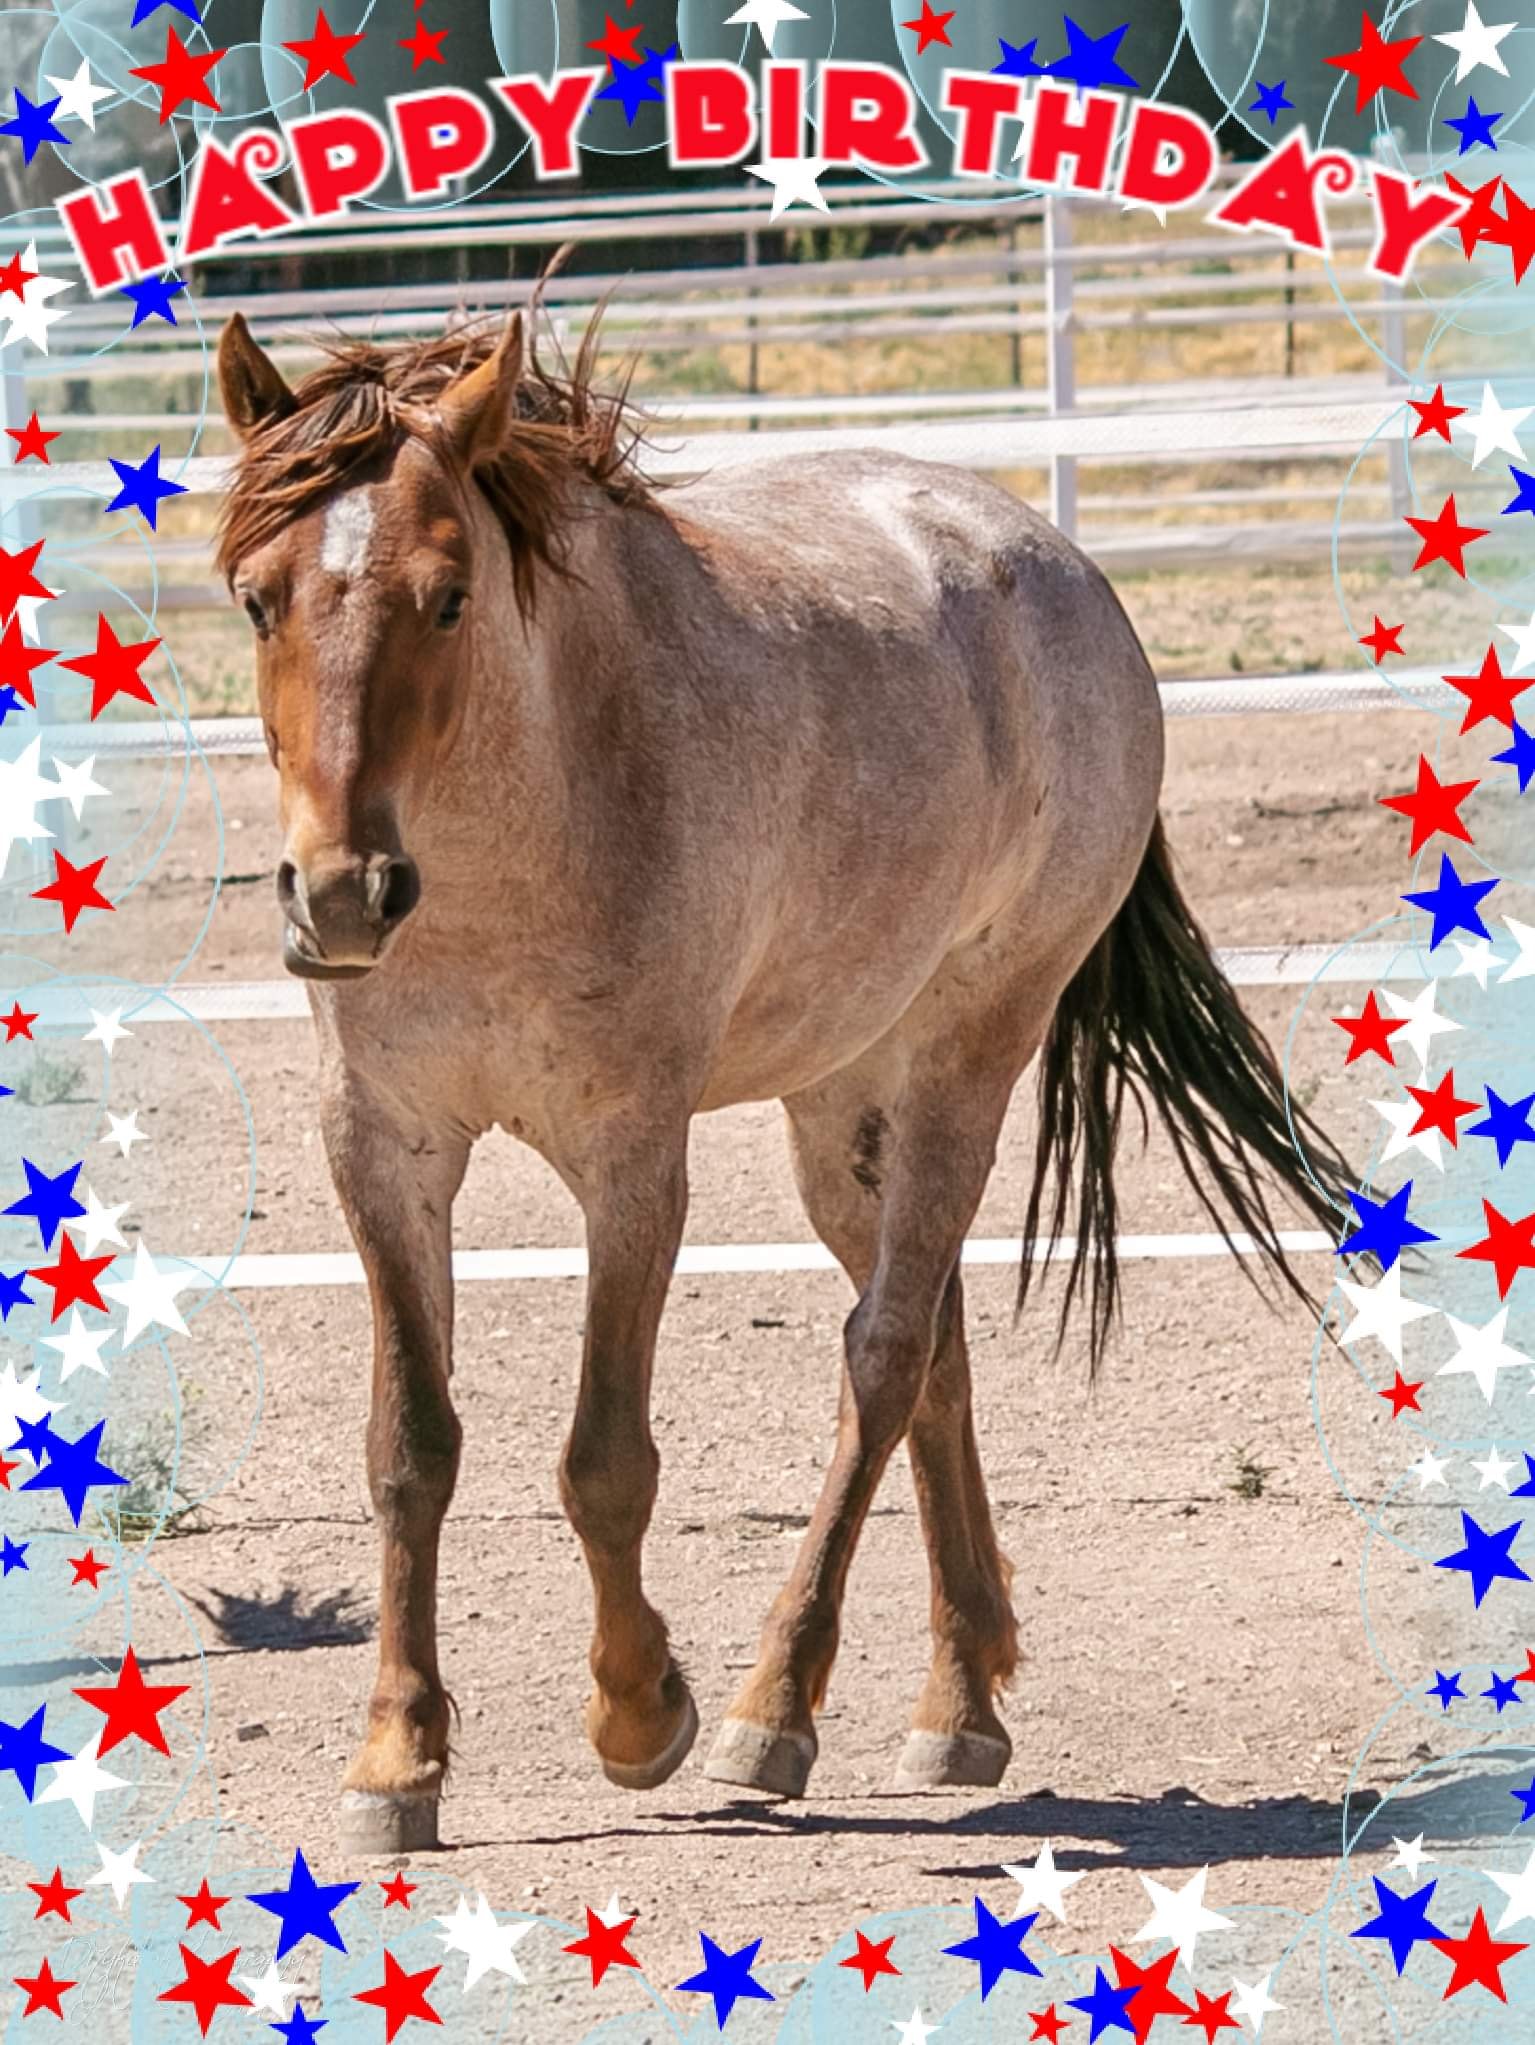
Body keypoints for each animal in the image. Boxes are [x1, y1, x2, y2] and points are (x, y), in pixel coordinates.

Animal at [214, 304, 1353, 1855]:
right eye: (257, 599)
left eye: (448, 599)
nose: (338, 894)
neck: (523, 826)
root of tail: (1049, 563)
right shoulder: (382, 1147)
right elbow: (409, 1446)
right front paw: (396, 1760)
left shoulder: (633, 1158)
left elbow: (602, 1459)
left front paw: (642, 1713)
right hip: (840, 1110)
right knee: (931, 1348)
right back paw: (958, 1704)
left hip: (966, 1057)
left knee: (881, 1355)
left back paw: (776, 1707)